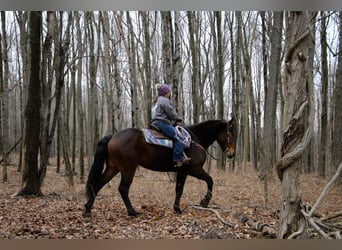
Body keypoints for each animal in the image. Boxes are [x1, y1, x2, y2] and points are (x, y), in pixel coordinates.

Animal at [84, 118, 236, 216]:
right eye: (230, 133)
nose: (231, 154)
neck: (195, 140)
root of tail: (113, 136)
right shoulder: (194, 169)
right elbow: (210, 180)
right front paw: (205, 201)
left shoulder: (182, 171)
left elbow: (179, 189)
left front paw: (177, 209)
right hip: (128, 169)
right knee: (123, 189)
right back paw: (132, 212)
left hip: (113, 168)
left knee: (97, 184)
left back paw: (87, 210)